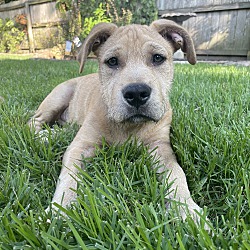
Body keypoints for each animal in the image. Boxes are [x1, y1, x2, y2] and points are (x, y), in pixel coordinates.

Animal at [29, 19, 205, 223]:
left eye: (158, 58)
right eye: (112, 61)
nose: (136, 93)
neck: (128, 126)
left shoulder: (160, 147)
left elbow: (177, 173)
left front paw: (187, 209)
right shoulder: (80, 146)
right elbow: (69, 177)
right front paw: (59, 211)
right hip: (59, 95)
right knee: (33, 122)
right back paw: (44, 136)